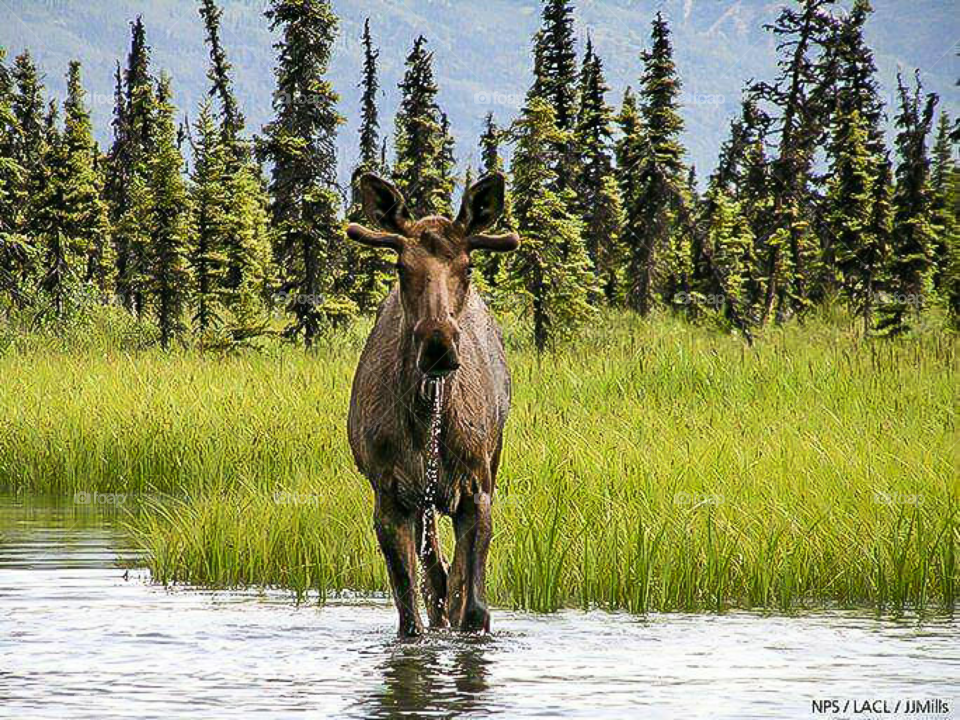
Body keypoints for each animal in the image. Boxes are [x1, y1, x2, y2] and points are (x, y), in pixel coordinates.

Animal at [345, 172, 519, 637]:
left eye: (469, 266)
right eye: (400, 266)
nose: (438, 344)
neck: (428, 420)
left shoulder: (477, 490)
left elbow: (473, 607)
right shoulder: (390, 495)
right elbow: (411, 612)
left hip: (490, 463)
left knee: (451, 579)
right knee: (436, 577)